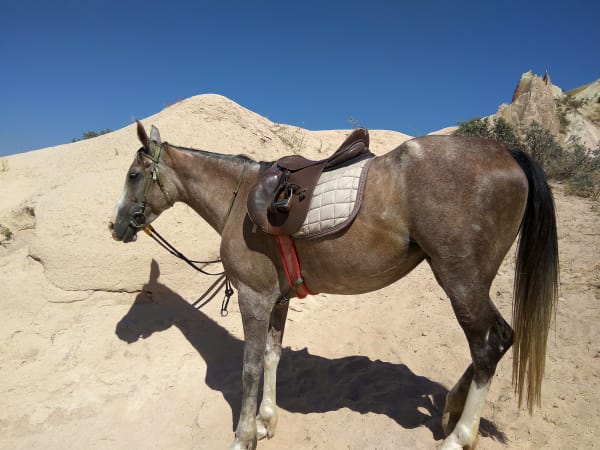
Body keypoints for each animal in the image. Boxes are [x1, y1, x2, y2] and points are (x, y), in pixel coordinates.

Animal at [111, 122, 556, 450]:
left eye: (133, 175)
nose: (115, 227)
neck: (240, 201)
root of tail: (508, 153)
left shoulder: (253, 298)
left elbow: (250, 369)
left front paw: (243, 436)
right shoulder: (277, 300)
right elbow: (272, 357)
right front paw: (266, 421)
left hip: (460, 280)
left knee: (487, 346)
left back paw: (459, 436)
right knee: (500, 339)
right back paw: (450, 409)